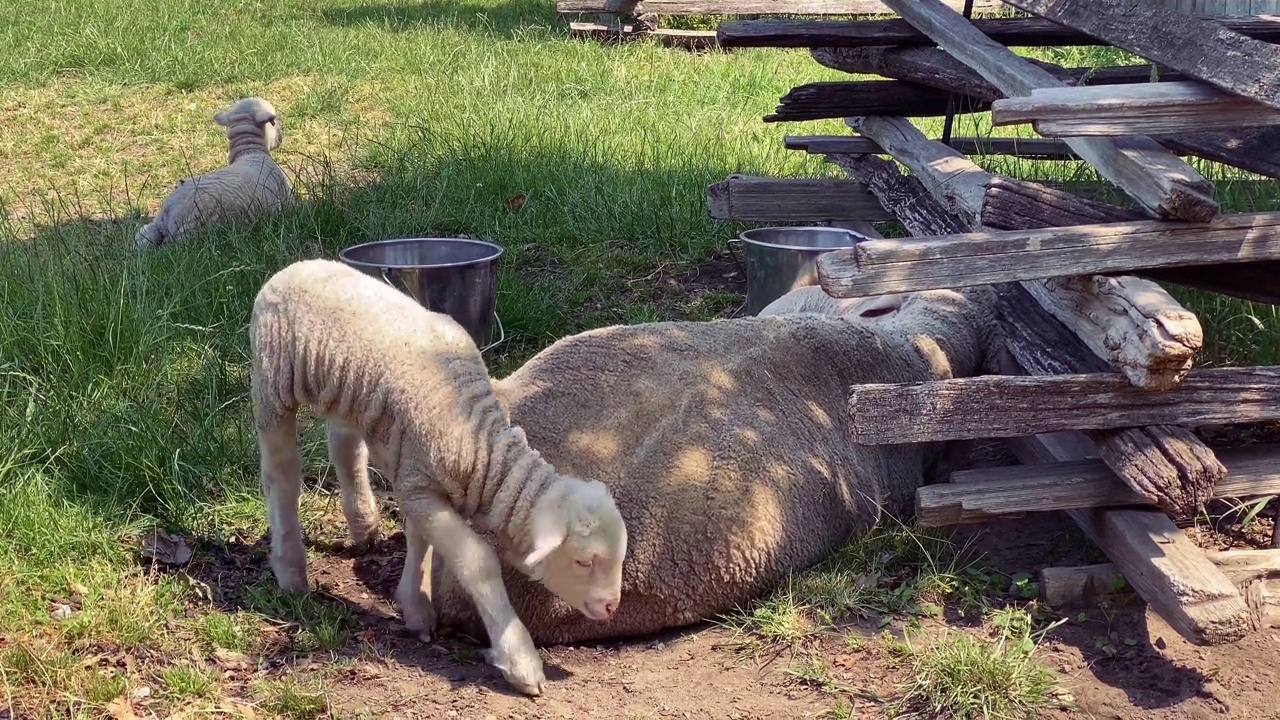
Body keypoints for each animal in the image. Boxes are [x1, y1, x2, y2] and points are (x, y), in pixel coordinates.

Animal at [247, 254, 627, 691]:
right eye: (584, 561)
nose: (611, 607)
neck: (477, 440)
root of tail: (295, 266)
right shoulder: (420, 486)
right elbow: (477, 560)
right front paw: (521, 661)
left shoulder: (416, 478)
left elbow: (419, 539)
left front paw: (416, 608)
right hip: (273, 385)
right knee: (281, 476)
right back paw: (290, 571)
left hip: (344, 395)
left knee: (344, 445)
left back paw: (364, 524)